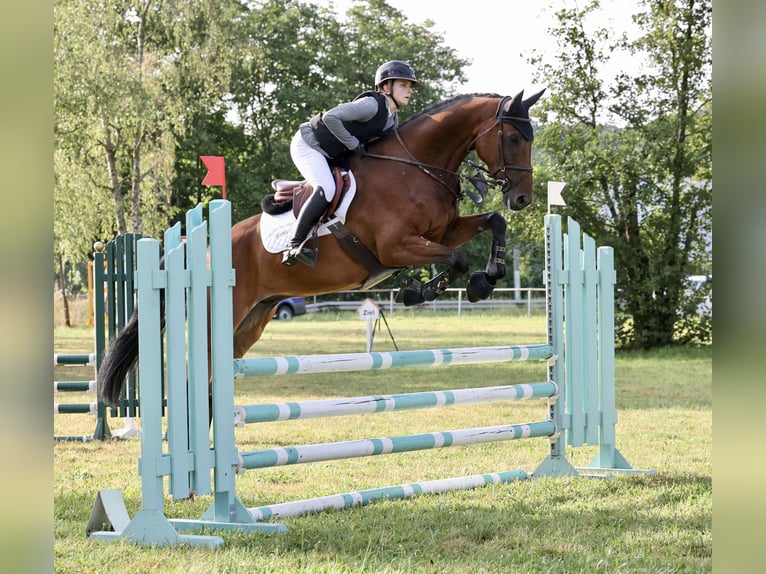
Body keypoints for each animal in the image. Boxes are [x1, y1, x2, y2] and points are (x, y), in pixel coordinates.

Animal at [98, 90, 544, 407]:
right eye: (512, 137)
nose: (523, 198)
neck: (416, 166)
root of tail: (195, 248)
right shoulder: (396, 247)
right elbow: (457, 257)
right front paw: (424, 290)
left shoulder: (443, 231)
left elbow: (492, 223)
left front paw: (487, 278)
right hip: (219, 313)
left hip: (252, 318)